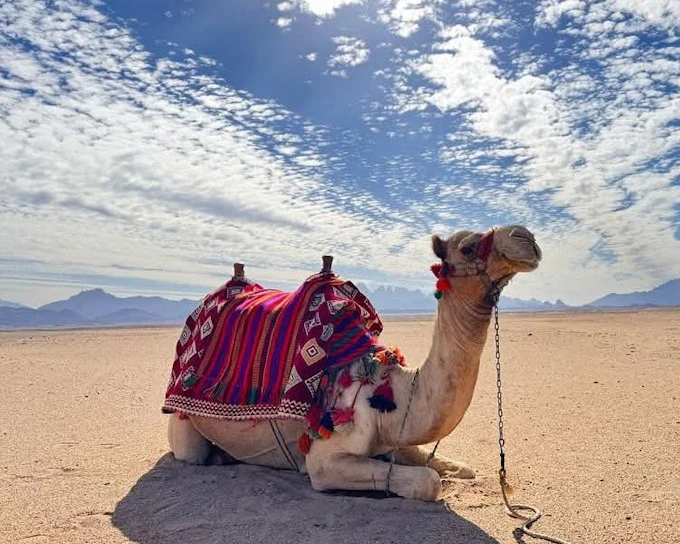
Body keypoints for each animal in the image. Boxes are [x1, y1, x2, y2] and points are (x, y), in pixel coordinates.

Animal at [166, 225, 541, 501]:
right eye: (467, 248)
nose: (526, 237)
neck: (388, 391)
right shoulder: (324, 461)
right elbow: (427, 481)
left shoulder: (397, 437)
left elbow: (455, 467)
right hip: (183, 426)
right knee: (189, 453)